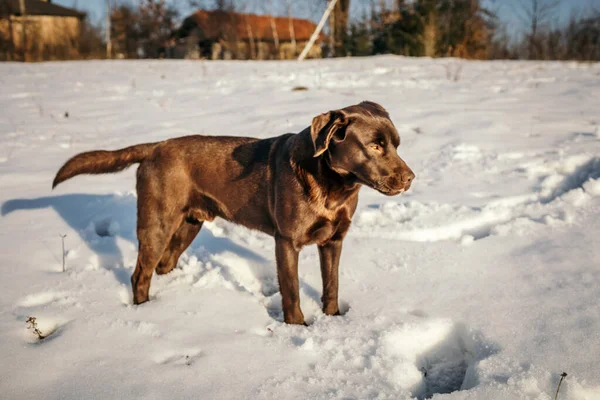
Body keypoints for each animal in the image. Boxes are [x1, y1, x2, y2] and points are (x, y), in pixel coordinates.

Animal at [54, 101, 414, 324]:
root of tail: (155, 146)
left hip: (189, 224)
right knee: (140, 273)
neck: (333, 187)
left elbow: (332, 284)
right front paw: (298, 328)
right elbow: (292, 292)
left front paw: (334, 319)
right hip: (157, 222)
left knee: (164, 265)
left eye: (397, 144)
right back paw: (146, 311)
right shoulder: (286, 242)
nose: (411, 178)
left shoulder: (334, 241)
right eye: (375, 146)